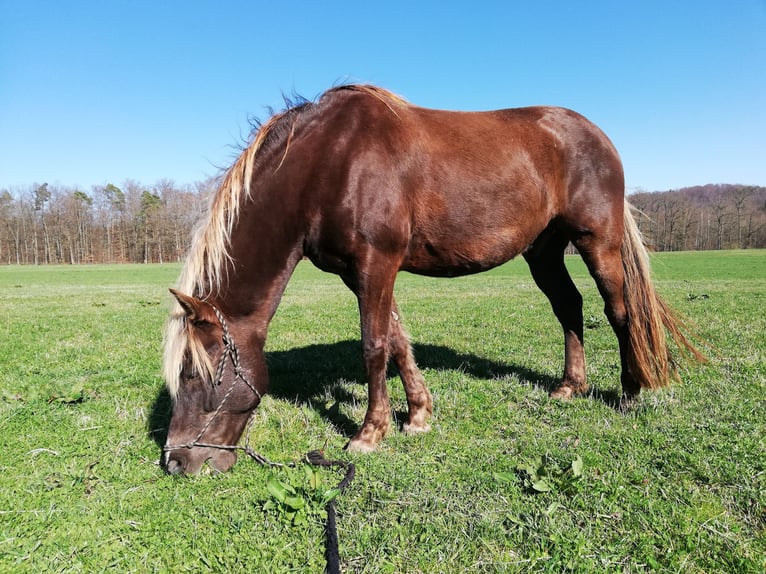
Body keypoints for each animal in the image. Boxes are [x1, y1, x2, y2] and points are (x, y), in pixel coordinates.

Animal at [161, 84, 702, 475]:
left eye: (193, 375)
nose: (176, 462)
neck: (329, 163)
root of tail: (596, 135)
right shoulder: (362, 274)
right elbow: (398, 341)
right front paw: (418, 416)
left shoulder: (375, 264)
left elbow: (374, 345)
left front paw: (368, 434)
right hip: (543, 251)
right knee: (569, 306)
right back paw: (570, 386)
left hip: (597, 241)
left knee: (619, 311)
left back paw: (630, 393)